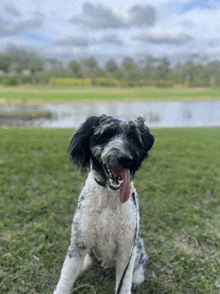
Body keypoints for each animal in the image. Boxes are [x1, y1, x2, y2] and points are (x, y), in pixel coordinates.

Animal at [53, 115, 154, 294]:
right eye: (106, 134)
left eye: (134, 137)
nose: (126, 158)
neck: (109, 200)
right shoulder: (79, 243)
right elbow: (65, 280)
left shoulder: (126, 249)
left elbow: (124, 284)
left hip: (138, 252)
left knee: (139, 270)